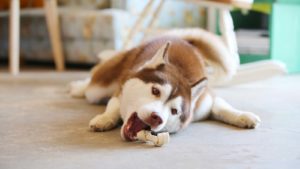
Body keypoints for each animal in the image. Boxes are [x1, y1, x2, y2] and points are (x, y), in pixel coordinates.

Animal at [69, 28, 260, 141]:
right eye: (155, 91)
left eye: (174, 111)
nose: (157, 117)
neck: (182, 72)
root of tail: (180, 38)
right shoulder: (119, 91)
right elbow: (114, 106)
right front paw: (105, 118)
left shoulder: (204, 102)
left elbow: (222, 106)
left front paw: (243, 116)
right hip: (99, 87)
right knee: (92, 85)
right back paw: (78, 87)